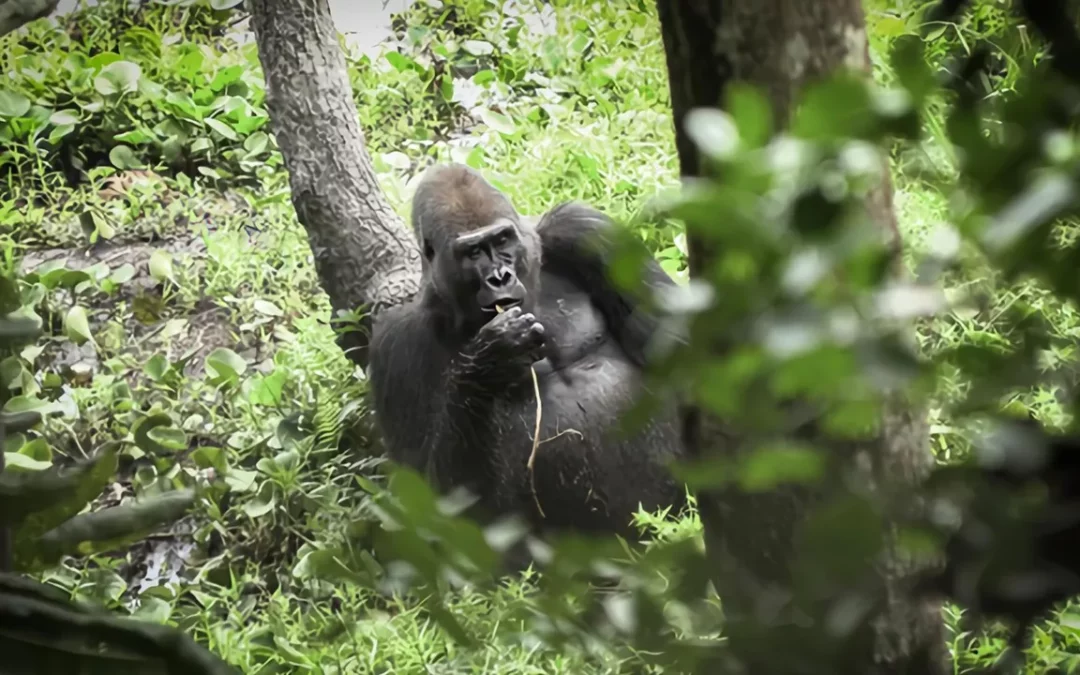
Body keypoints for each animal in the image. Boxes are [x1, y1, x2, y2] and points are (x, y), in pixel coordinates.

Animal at [367, 163, 686, 542]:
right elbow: (439, 512)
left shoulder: (584, 229)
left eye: (502, 240)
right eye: (473, 253)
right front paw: (490, 360)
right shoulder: (394, 345)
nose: (499, 278)